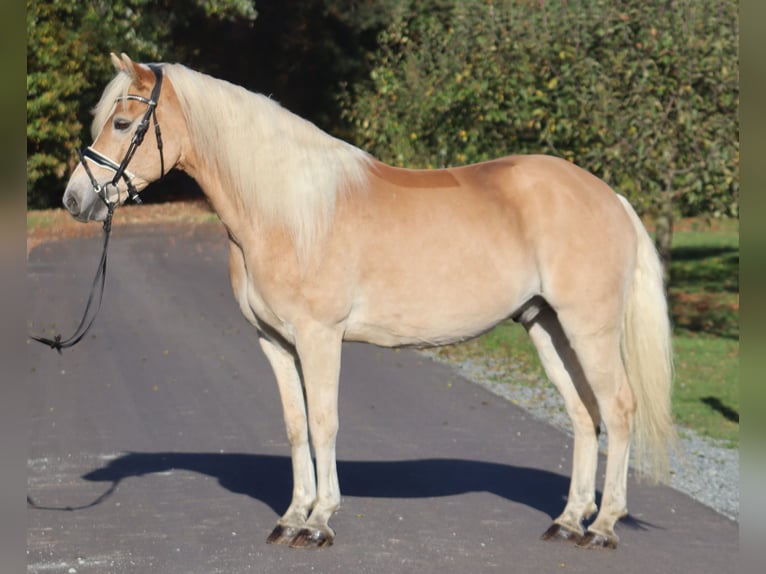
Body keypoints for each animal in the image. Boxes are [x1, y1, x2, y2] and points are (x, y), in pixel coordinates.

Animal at [61, 55, 680, 552]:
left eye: (122, 123)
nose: (74, 199)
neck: (288, 210)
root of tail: (609, 195)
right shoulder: (274, 342)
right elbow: (295, 426)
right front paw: (291, 517)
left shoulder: (320, 337)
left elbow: (324, 422)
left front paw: (319, 523)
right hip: (546, 327)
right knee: (583, 415)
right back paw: (570, 520)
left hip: (588, 329)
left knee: (617, 410)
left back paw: (603, 527)